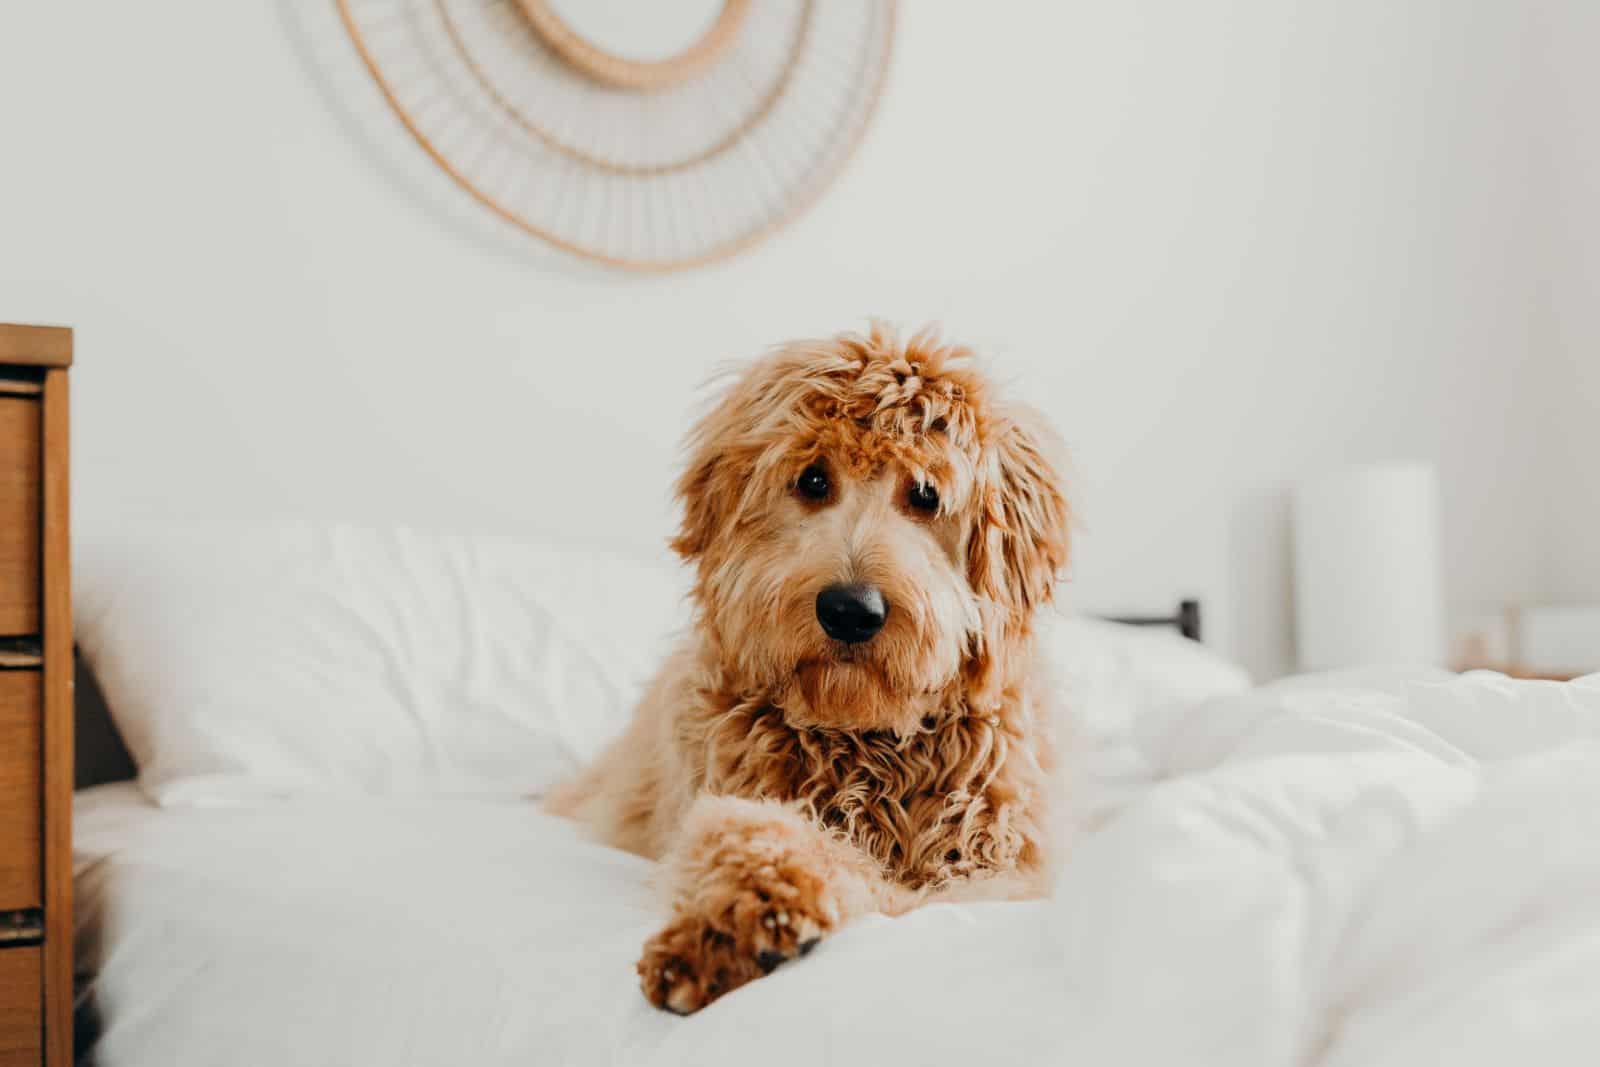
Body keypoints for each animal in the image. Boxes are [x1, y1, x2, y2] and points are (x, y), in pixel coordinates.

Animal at [544, 326, 1068, 1017]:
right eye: (814, 479)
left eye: (926, 495)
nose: (850, 611)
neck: (864, 743)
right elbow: (744, 830)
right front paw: (739, 915)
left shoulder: (994, 872)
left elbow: (879, 883)